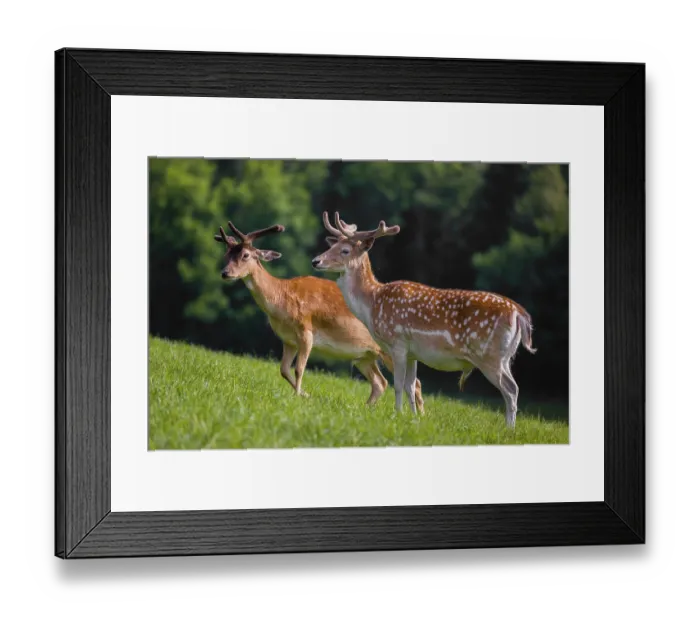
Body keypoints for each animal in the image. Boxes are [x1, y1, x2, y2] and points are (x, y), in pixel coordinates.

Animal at [215, 220, 423, 409]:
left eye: (245, 255)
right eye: (226, 255)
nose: (225, 273)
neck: (282, 299)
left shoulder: (306, 332)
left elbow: (299, 369)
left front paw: (298, 396)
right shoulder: (288, 340)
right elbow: (283, 370)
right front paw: (306, 394)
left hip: (389, 350)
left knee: (415, 384)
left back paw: (418, 416)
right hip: (364, 356)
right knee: (380, 383)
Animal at [312, 212, 536, 428]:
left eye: (345, 250)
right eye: (331, 246)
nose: (316, 261)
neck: (372, 303)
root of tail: (519, 313)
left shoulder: (397, 342)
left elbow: (399, 384)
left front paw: (397, 413)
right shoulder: (413, 352)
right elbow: (411, 385)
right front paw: (412, 417)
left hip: (489, 355)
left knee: (511, 389)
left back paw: (509, 429)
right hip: (505, 357)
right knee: (513, 387)